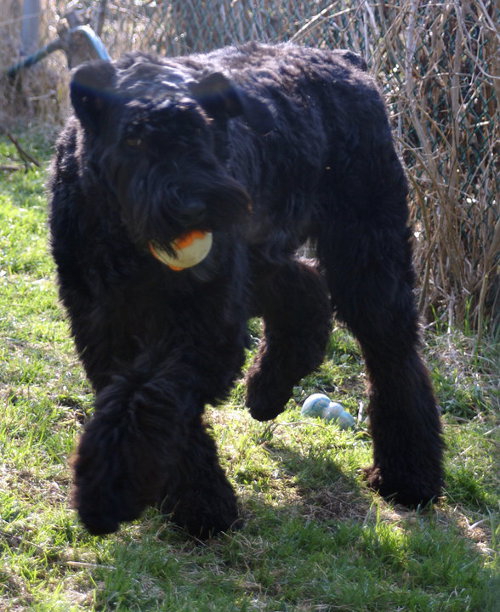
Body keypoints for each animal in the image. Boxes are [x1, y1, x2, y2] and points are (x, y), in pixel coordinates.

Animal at [48, 41, 444, 536]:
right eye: (133, 139)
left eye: (202, 129)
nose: (192, 204)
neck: (124, 238)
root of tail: (347, 61)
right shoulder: (104, 324)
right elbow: (145, 400)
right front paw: (198, 500)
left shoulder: (203, 324)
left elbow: (151, 398)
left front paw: (108, 489)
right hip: (266, 252)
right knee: (305, 289)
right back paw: (268, 391)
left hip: (365, 255)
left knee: (391, 351)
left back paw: (408, 476)